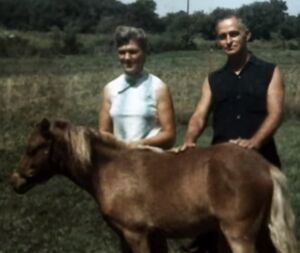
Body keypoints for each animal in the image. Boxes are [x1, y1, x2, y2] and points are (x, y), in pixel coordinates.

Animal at [10, 119, 296, 253]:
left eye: (33, 148)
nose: (15, 181)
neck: (110, 168)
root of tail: (264, 167)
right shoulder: (149, 235)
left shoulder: (135, 234)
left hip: (239, 234)